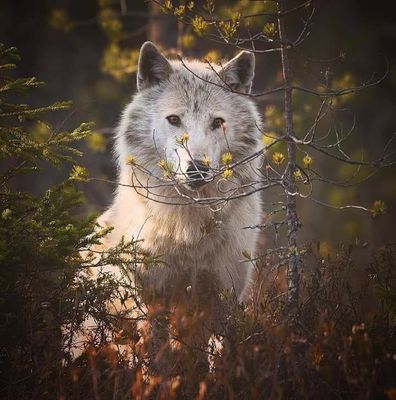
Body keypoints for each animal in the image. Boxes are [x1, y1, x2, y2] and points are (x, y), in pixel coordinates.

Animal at [86, 40, 262, 368]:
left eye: (217, 122)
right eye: (174, 120)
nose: (197, 169)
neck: (190, 229)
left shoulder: (225, 297)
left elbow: (216, 362)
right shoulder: (153, 300)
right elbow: (156, 363)